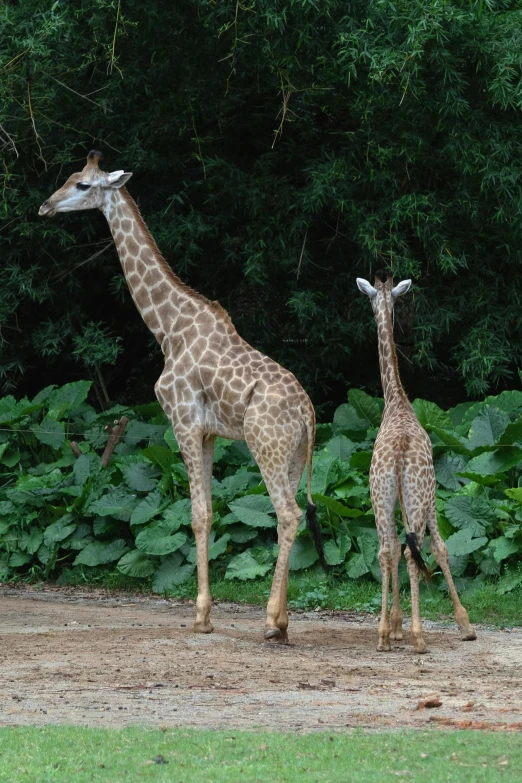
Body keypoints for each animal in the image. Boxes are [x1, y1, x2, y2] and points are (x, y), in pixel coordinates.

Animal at [39, 153, 324, 644]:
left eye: (82, 185)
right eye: (69, 179)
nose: (45, 207)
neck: (167, 327)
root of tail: (309, 413)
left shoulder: (183, 421)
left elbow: (197, 514)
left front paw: (202, 615)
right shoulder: (209, 432)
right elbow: (207, 512)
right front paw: (205, 613)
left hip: (265, 445)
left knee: (287, 514)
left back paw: (272, 621)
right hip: (293, 454)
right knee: (294, 515)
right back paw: (284, 622)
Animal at [356, 272, 474, 652]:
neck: (398, 400)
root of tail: (399, 453)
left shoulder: (395, 499)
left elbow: (395, 548)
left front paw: (394, 627)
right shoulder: (432, 496)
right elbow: (441, 547)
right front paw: (465, 624)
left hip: (379, 494)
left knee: (386, 549)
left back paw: (383, 635)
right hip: (418, 496)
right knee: (413, 551)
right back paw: (418, 636)